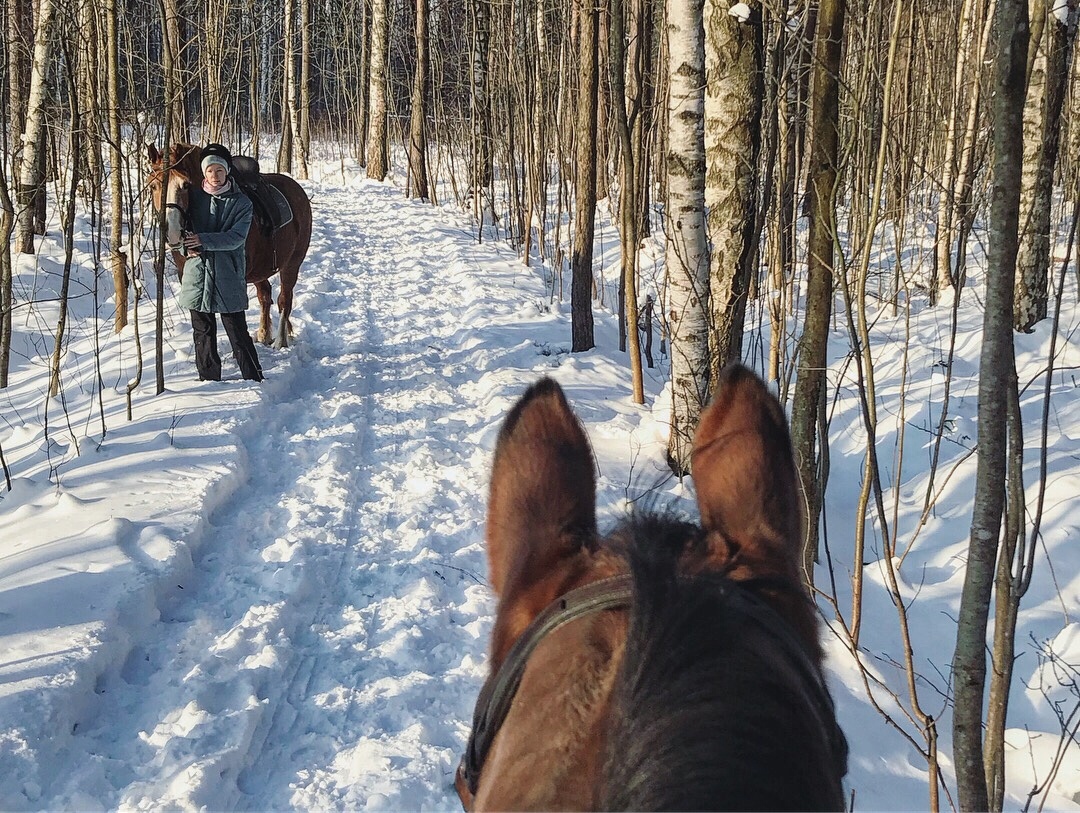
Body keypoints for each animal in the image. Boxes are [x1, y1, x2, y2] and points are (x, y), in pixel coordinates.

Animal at [145, 144, 313, 347]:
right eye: (152, 185)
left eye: (185, 185)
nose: (173, 232)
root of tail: (298, 189)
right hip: (261, 270)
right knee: (265, 296)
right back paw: (264, 334)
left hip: (292, 264)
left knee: (284, 300)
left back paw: (280, 341)